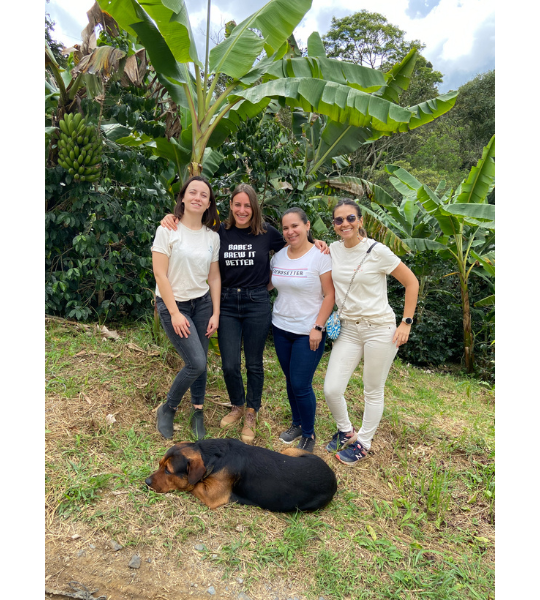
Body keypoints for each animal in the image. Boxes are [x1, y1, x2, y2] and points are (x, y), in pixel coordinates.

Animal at [146, 436, 336, 510]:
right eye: (159, 465)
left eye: (168, 470)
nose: (146, 482)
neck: (213, 456)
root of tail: (333, 480)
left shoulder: (212, 495)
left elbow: (193, 485)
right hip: (289, 451)